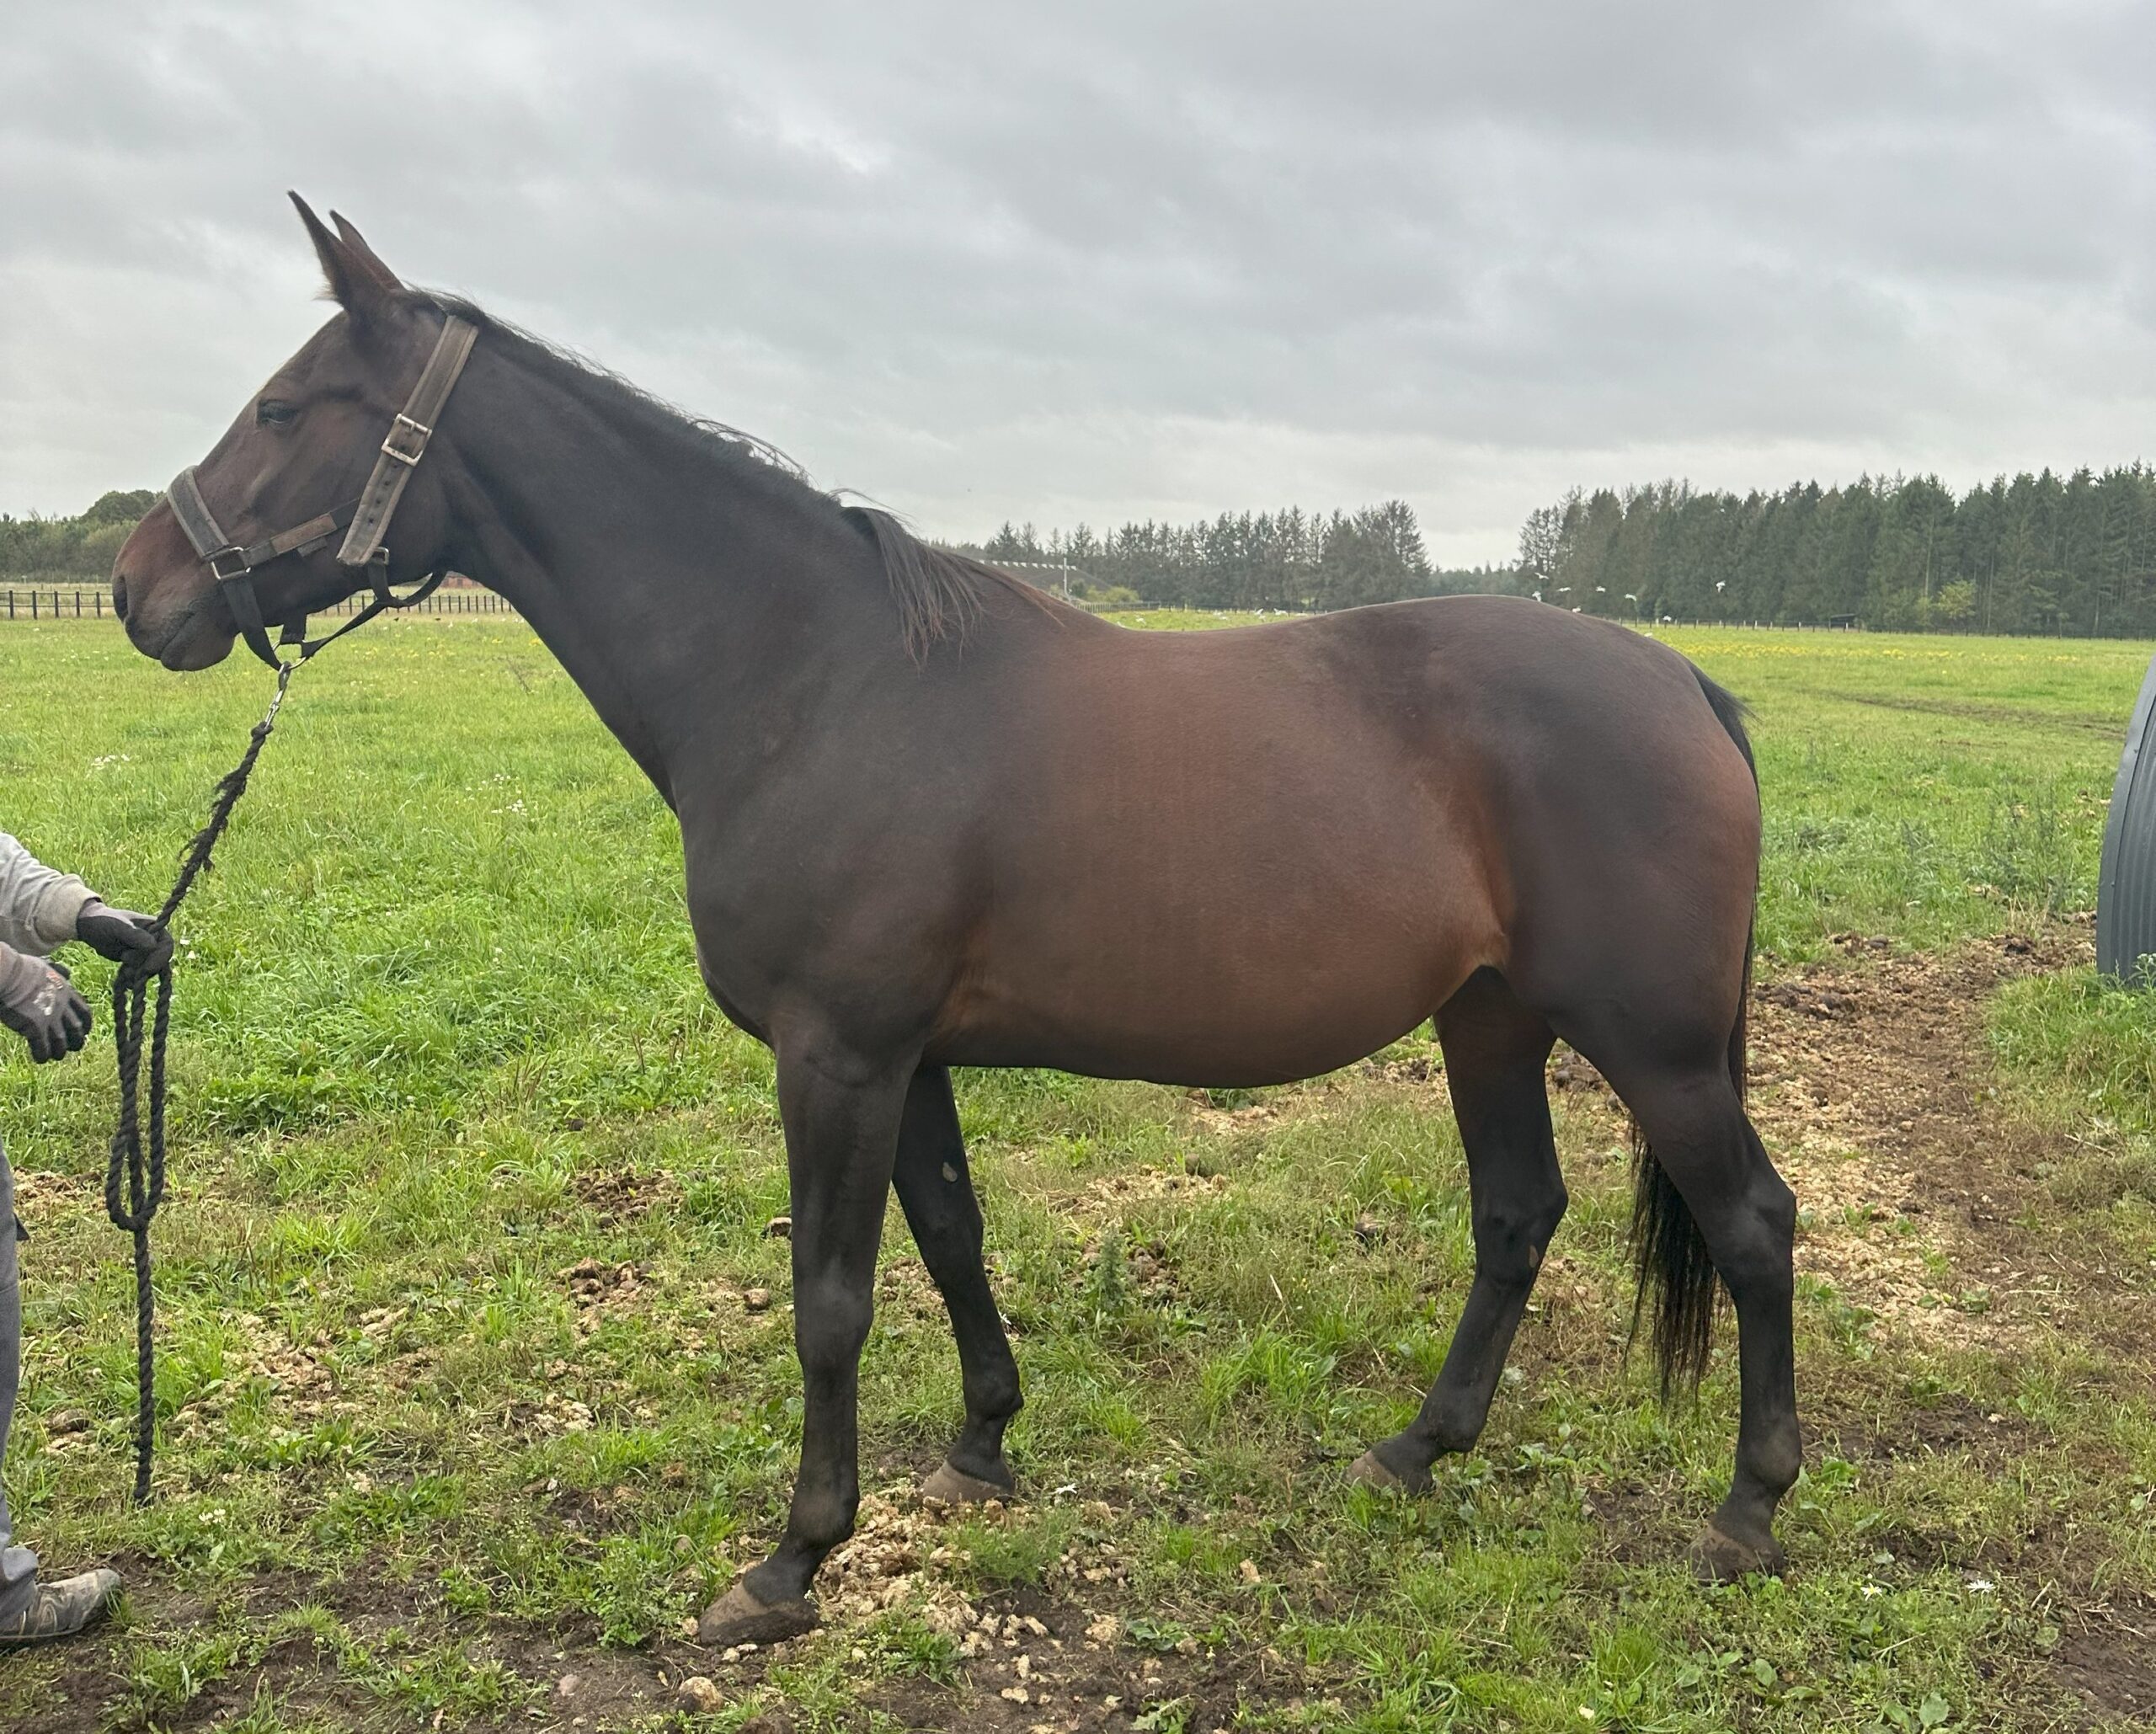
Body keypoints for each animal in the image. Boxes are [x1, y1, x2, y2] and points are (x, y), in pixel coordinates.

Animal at [113, 196, 1798, 1646]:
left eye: (284, 409)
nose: (140, 587)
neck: (811, 678)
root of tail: (1687, 685)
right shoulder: (905, 1055)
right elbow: (950, 1235)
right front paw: (982, 1442)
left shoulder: (837, 1051)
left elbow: (832, 1298)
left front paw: (792, 1557)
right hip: (1491, 1016)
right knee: (1517, 1215)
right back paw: (1417, 1449)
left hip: (1652, 1044)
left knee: (1754, 1226)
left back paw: (1747, 1509)